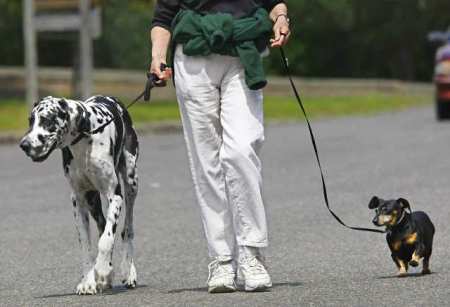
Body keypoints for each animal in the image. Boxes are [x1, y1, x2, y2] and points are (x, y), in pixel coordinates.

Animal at [20, 95, 139, 294]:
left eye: (47, 120)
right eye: (30, 120)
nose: (24, 145)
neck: (84, 141)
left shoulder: (115, 196)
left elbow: (106, 239)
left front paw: (102, 268)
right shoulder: (78, 200)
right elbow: (86, 244)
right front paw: (89, 280)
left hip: (131, 184)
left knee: (126, 230)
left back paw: (128, 271)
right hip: (92, 200)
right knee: (103, 226)